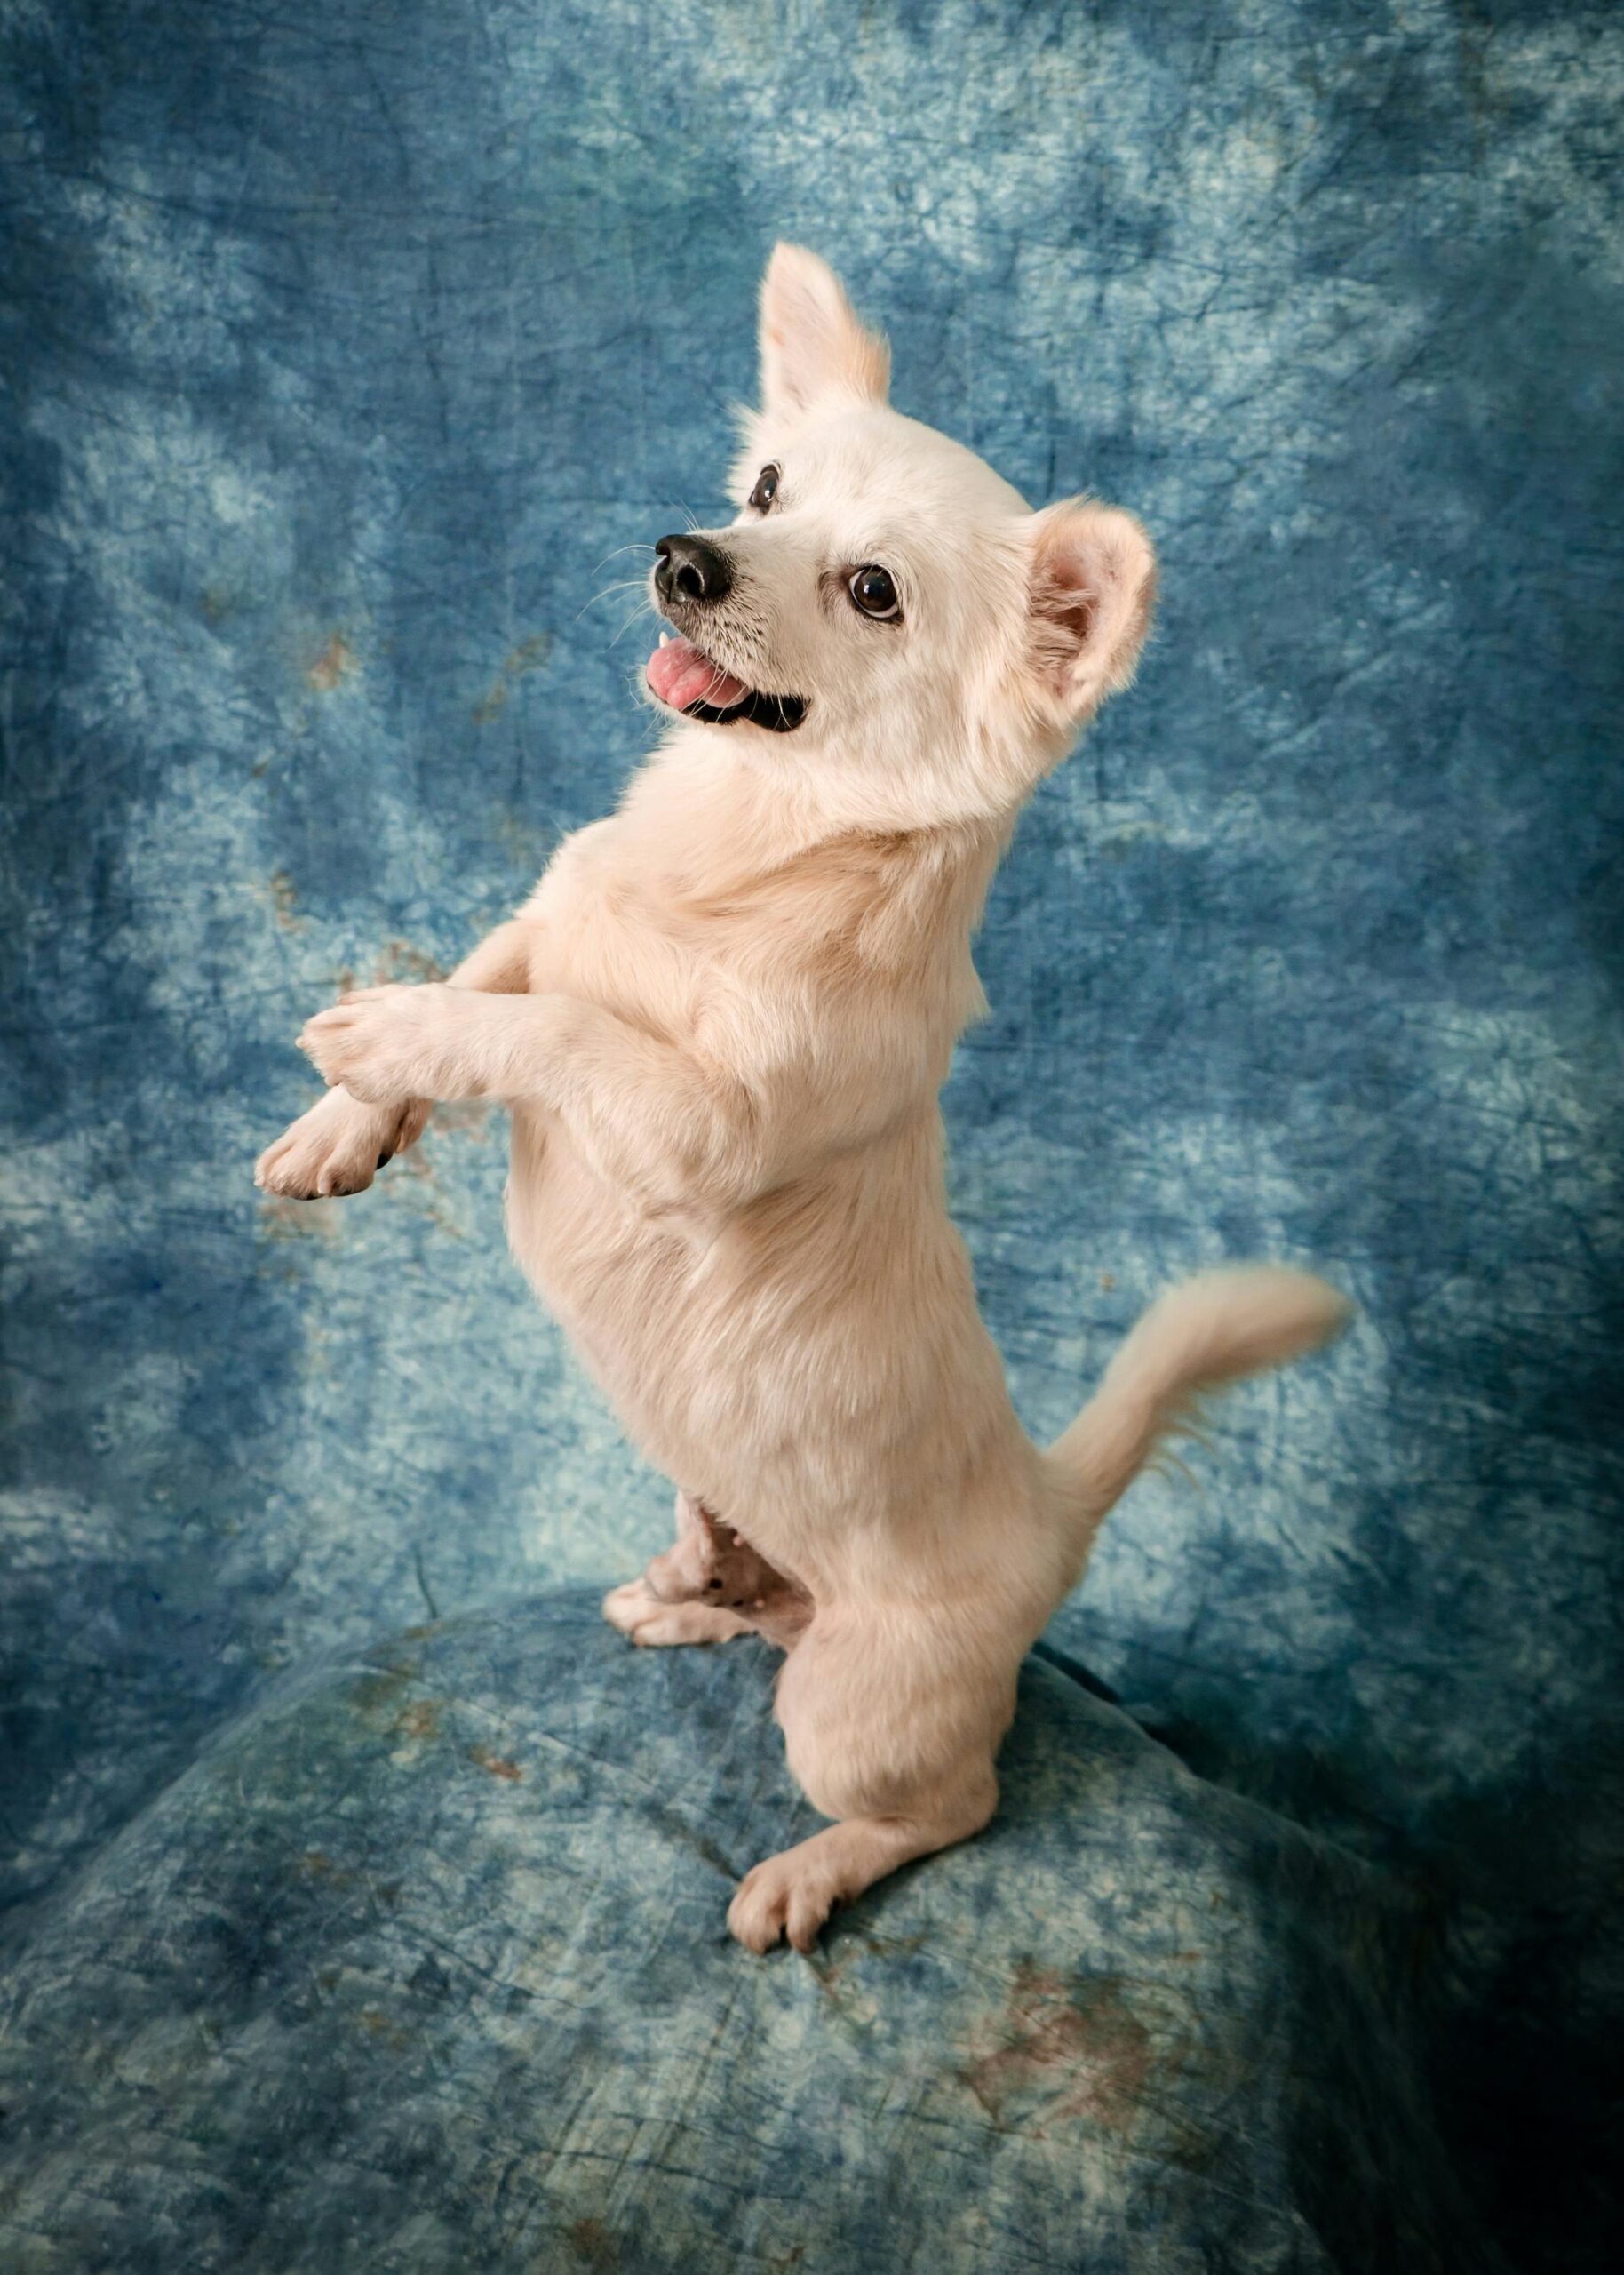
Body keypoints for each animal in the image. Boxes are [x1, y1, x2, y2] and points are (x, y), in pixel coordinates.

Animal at [259, 249, 1346, 1956]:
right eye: (764, 491)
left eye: (874, 591)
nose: (684, 555)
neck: (737, 841)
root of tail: (1049, 1516)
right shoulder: (552, 907)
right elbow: (498, 967)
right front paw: (343, 1116)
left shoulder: (686, 1132)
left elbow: (551, 1026)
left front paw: (395, 1032)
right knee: (757, 1619)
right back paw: (689, 1592)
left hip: (855, 1710)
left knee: (947, 1806)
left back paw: (805, 1872)